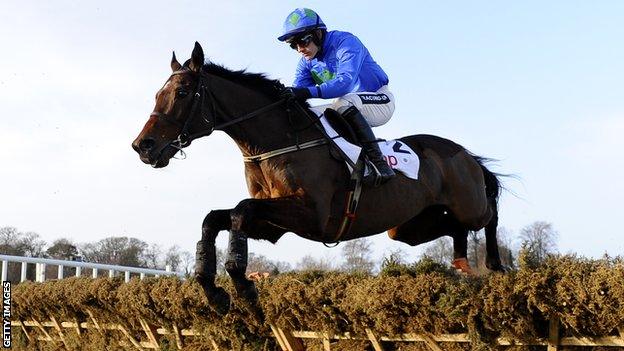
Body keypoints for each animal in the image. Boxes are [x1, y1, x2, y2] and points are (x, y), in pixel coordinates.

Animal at [132, 42, 508, 314]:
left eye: (182, 93)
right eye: (157, 95)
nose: (142, 146)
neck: (278, 139)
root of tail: (464, 153)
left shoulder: (312, 215)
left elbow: (239, 211)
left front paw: (244, 287)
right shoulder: (272, 223)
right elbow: (214, 219)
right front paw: (213, 291)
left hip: (468, 204)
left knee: (488, 215)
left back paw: (494, 265)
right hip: (407, 227)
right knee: (454, 227)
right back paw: (462, 265)